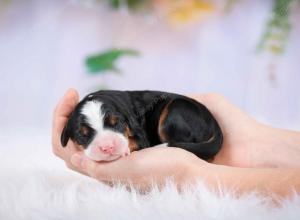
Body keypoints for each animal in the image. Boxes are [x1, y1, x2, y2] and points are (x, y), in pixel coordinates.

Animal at [61, 90, 223, 162]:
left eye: (117, 123)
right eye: (83, 135)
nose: (108, 147)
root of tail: (215, 125)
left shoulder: (141, 136)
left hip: (175, 110)